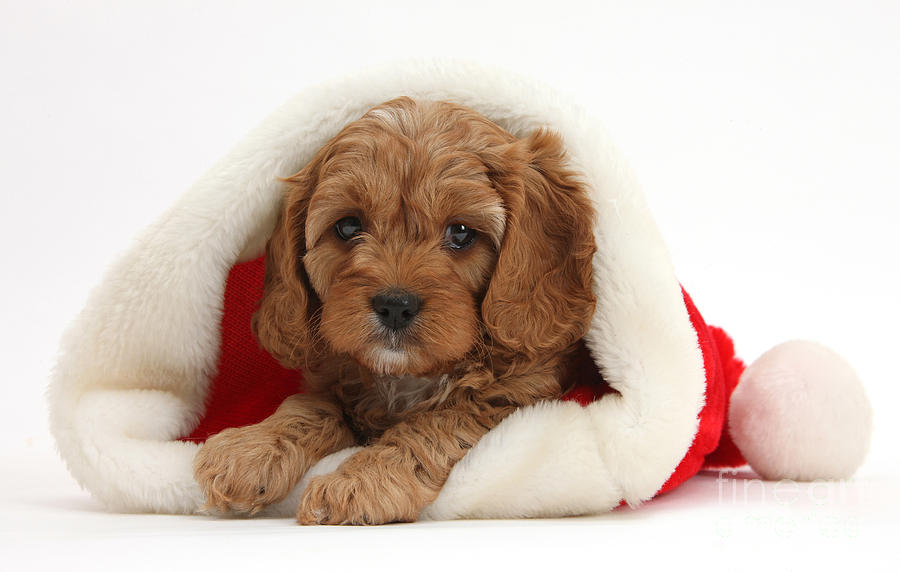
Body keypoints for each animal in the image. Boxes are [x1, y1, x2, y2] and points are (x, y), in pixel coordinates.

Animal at [191, 97, 596, 524]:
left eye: (461, 233)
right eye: (348, 226)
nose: (395, 306)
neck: (406, 376)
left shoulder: (517, 394)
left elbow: (439, 421)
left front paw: (361, 481)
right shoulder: (330, 379)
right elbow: (311, 405)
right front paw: (251, 450)